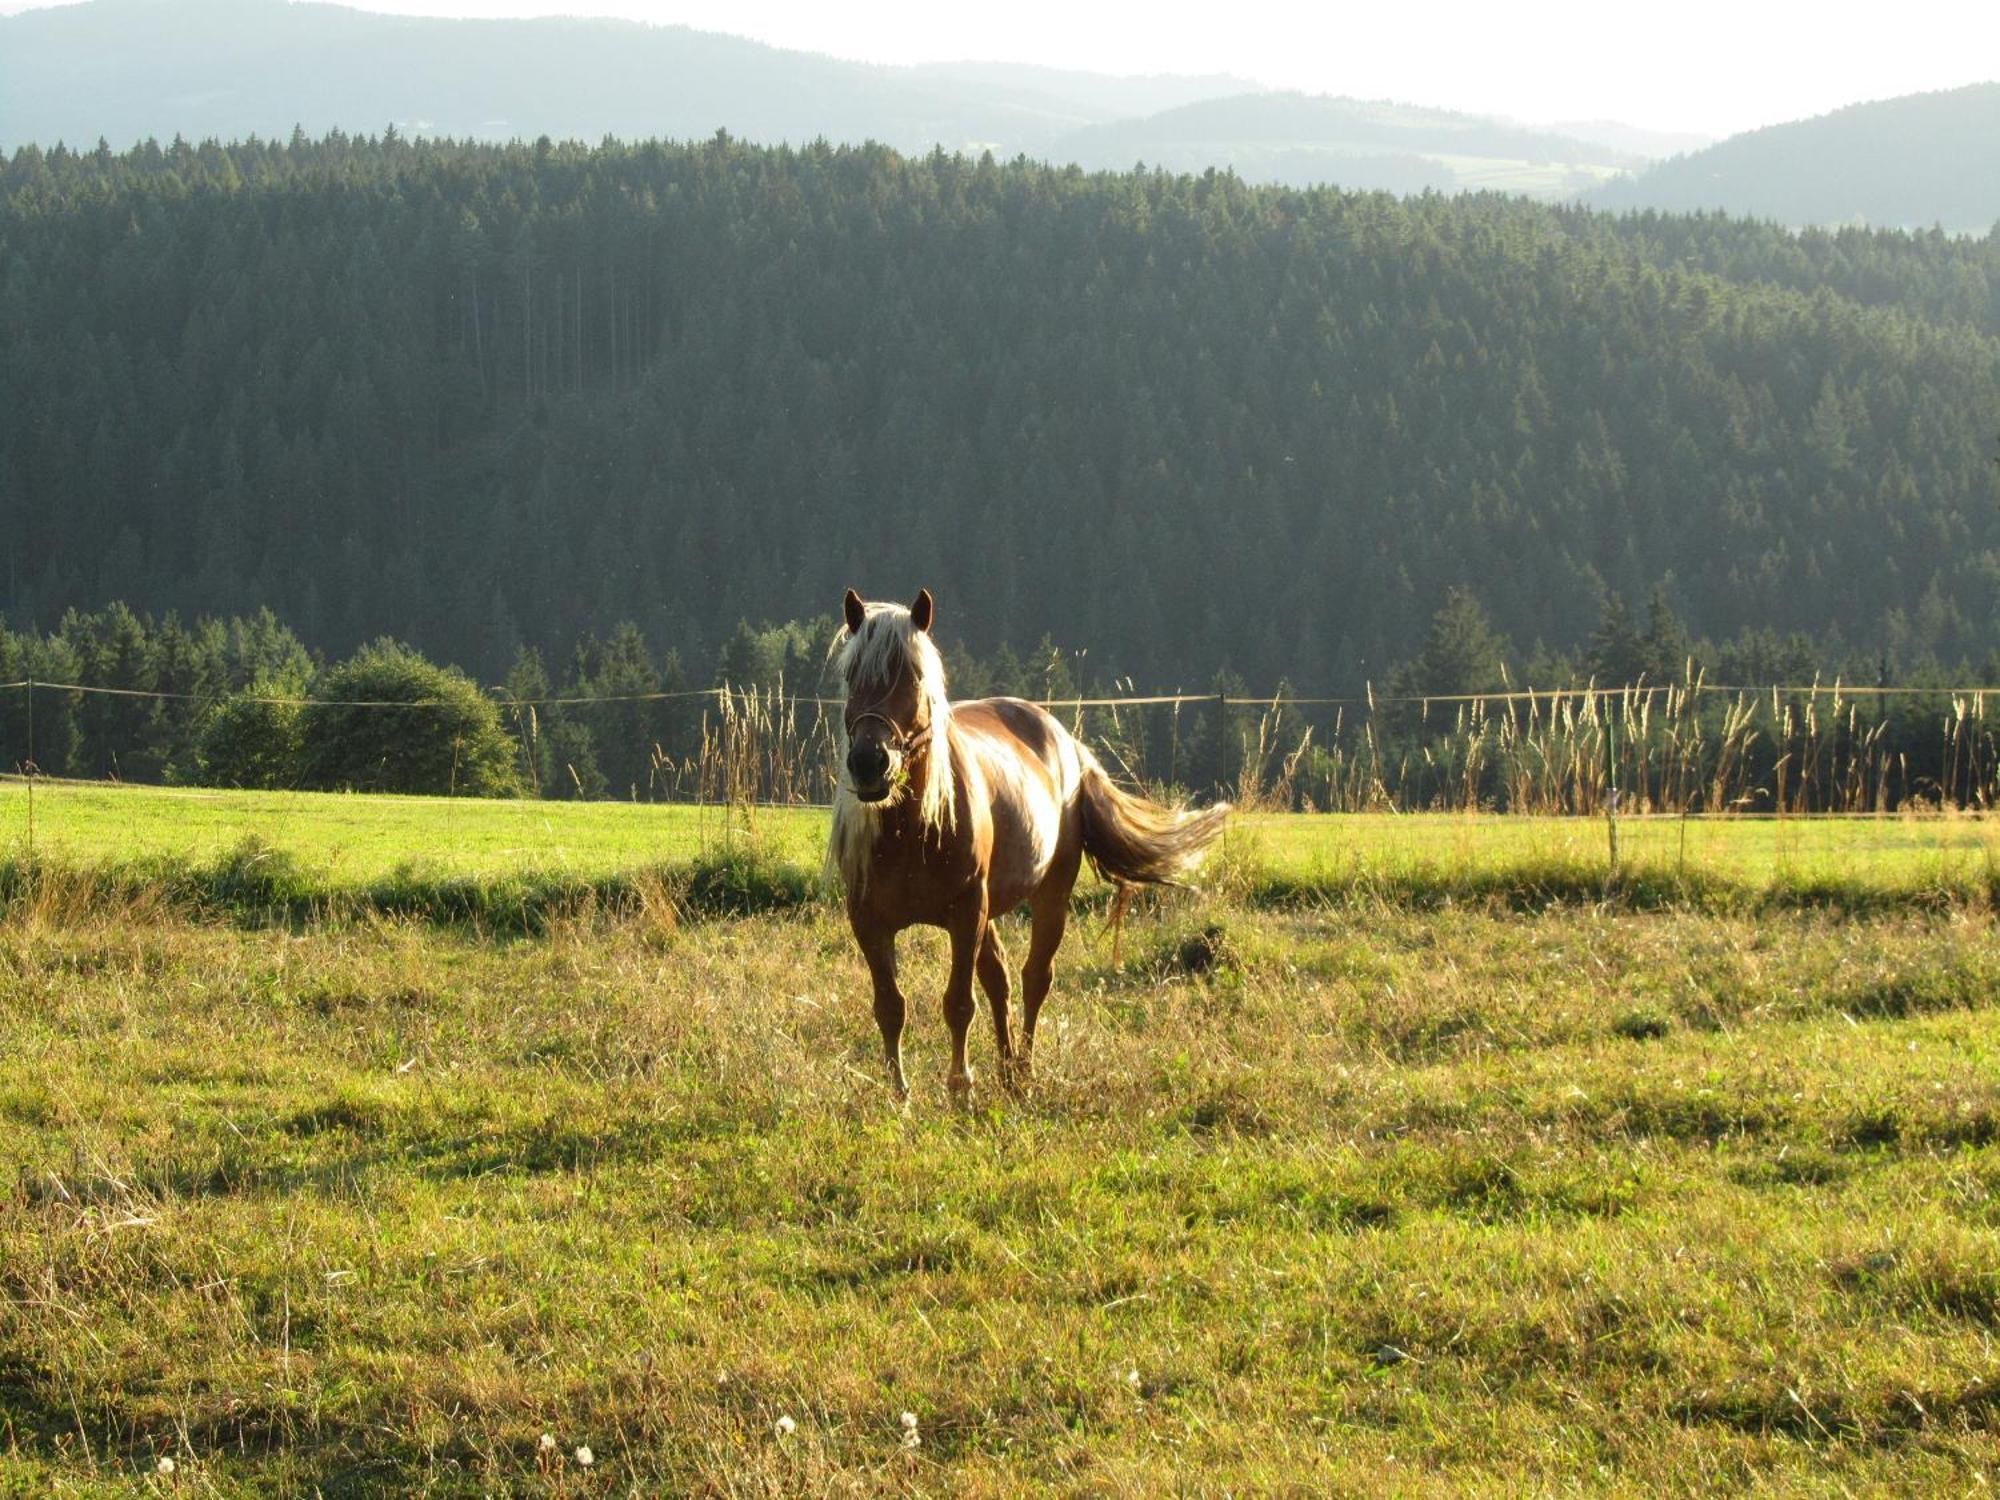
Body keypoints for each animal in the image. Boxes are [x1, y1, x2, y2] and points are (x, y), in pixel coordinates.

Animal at [828, 592, 1232, 1104]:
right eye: (851, 675)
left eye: (915, 675)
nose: (868, 762)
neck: (911, 831)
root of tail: (1068, 744)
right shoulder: (868, 921)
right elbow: (890, 1007)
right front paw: (900, 1095)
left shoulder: (966, 912)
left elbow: (959, 1004)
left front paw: (960, 1089)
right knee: (999, 980)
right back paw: (1004, 1072)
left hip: (1047, 898)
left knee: (1033, 978)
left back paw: (1022, 1072)